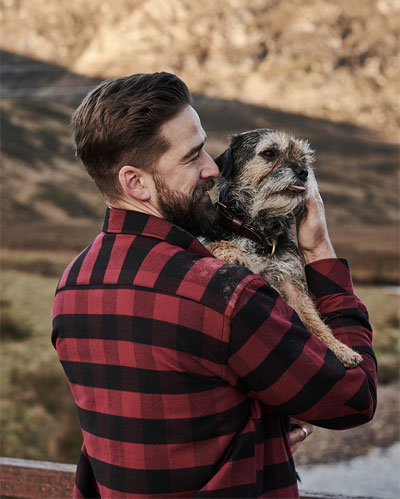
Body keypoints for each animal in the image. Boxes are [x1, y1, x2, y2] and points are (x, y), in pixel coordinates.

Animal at [206, 128, 362, 372]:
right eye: (269, 153)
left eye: (303, 158)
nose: (304, 172)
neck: (259, 230)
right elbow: (217, 242)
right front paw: (232, 253)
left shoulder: (290, 281)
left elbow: (313, 320)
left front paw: (341, 349)